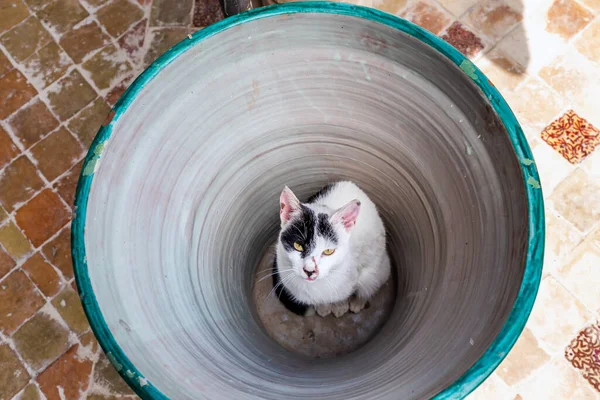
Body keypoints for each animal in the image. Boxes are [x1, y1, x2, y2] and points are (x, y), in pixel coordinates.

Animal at [272, 182, 390, 318]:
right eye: (298, 245)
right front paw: (323, 307)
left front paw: (340, 306)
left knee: (369, 283)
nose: (310, 271)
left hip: (377, 266)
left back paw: (358, 302)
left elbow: (342, 294)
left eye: (328, 251)